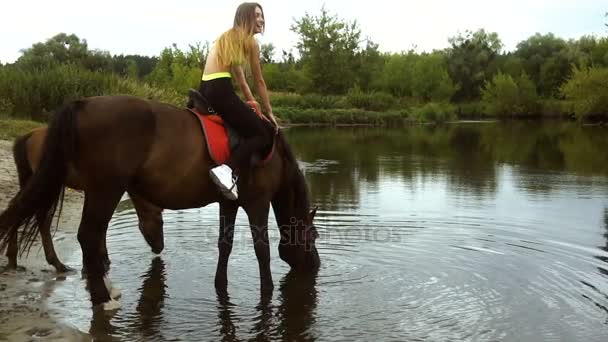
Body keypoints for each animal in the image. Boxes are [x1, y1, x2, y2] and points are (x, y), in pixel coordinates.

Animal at [5, 126, 166, 272]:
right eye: (161, 221)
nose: (159, 248)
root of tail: (27, 137)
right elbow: (102, 223)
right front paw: (102, 260)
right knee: (42, 219)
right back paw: (58, 264)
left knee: (17, 207)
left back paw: (12, 259)